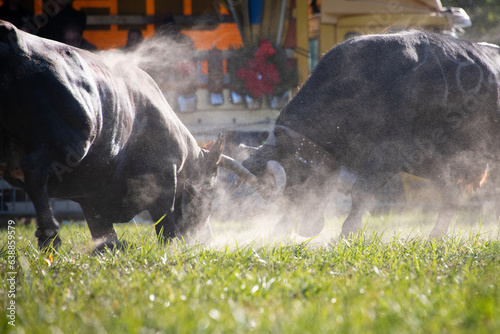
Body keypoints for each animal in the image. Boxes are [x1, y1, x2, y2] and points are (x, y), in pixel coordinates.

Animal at [0, 20, 252, 250]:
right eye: (210, 190)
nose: (205, 239)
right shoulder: (163, 177)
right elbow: (165, 222)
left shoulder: (91, 197)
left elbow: (104, 234)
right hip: (65, 143)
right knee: (35, 171)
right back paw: (50, 237)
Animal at [243, 30, 500, 237]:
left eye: (298, 183)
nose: (307, 228)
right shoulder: (432, 161)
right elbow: (451, 194)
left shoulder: (391, 155)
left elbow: (360, 193)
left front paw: (348, 234)